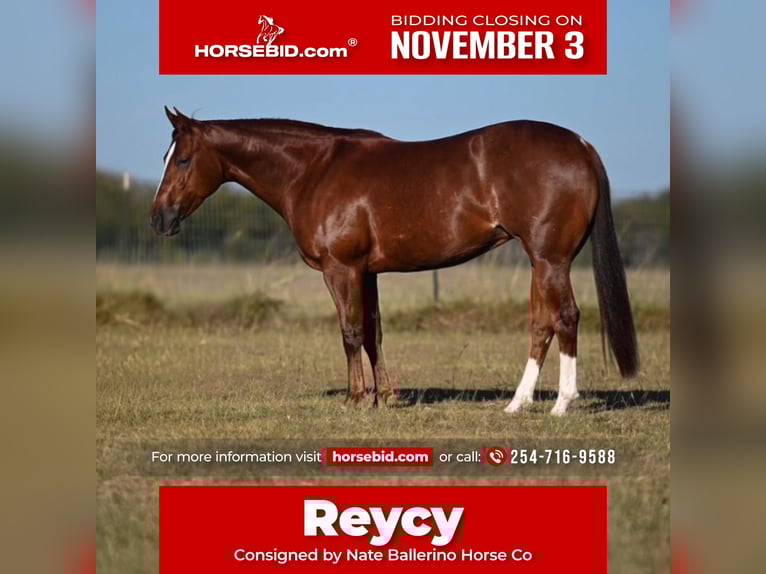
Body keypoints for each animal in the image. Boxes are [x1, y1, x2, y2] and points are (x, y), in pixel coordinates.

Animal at [150, 107, 638, 415]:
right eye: (166, 156)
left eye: (184, 159)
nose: (159, 218)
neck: (313, 170)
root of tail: (579, 145)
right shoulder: (367, 273)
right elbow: (373, 333)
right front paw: (385, 396)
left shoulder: (341, 269)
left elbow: (350, 332)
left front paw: (355, 400)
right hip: (541, 263)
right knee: (542, 325)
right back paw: (517, 404)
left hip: (551, 260)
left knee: (566, 317)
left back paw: (561, 404)